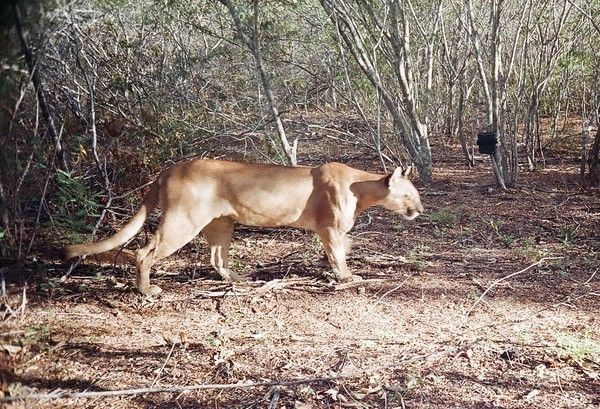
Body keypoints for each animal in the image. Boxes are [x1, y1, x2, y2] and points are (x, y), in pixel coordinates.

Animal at [63, 159, 424, 295]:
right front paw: (347, 278)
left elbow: (337, 251)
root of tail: (170, 168)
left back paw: (237, 279)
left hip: (221, 224)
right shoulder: (331, 229)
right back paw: (147, 290)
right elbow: (339, 254)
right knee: (144, 251)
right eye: (409, 195)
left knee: (216, 258)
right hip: (183, 221)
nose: (420, 209)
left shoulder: (330, 232)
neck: (362, 187)